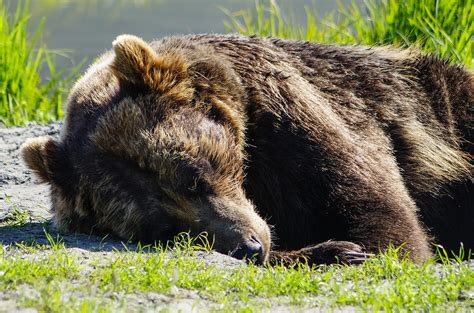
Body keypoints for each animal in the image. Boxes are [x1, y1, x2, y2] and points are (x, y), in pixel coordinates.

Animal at [21, 33, 470, 264]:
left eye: (193, 175)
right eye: (164, 228)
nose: (249, 246)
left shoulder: (296, 111)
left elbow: (386, 222)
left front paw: (351, 248)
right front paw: (333, 250)